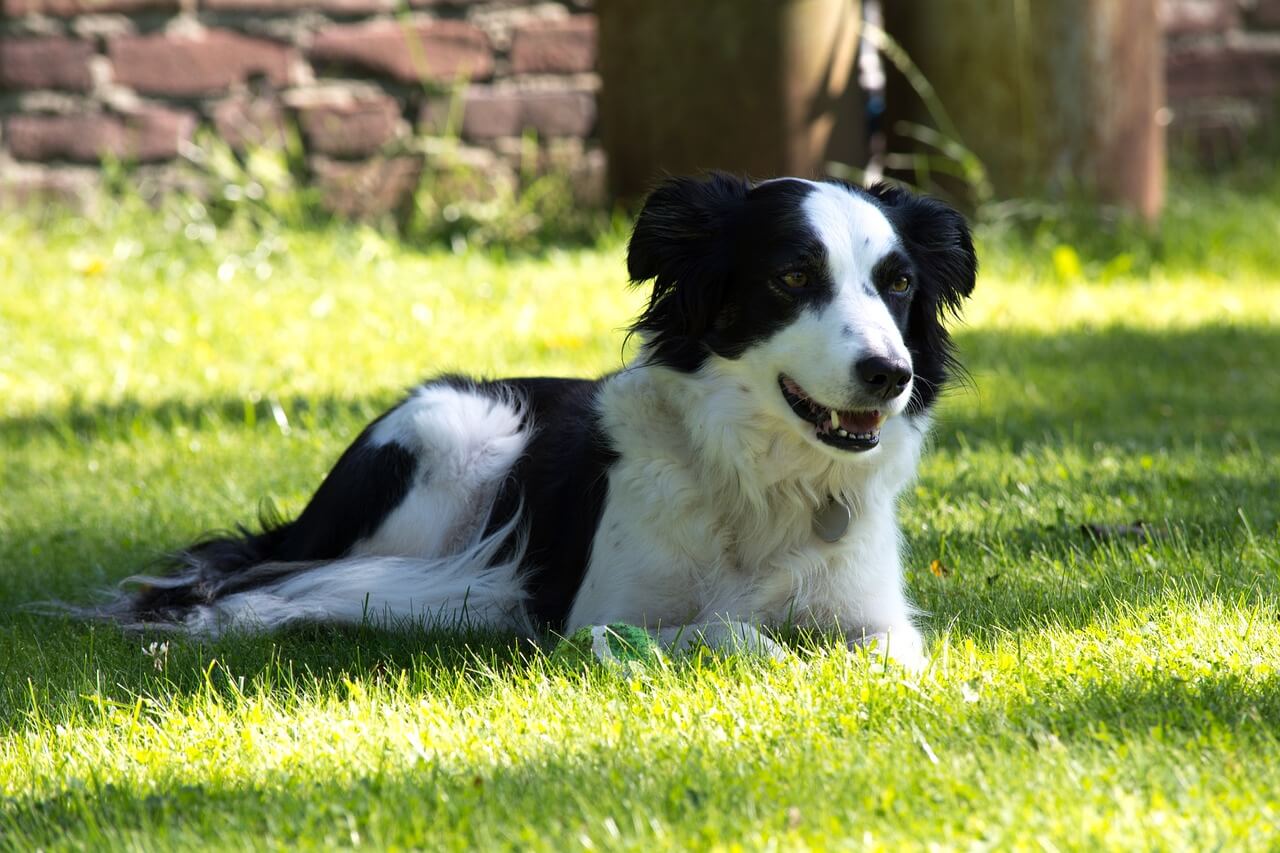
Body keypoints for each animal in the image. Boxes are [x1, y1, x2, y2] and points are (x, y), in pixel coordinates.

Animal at [104, 172, 972, 666]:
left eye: (898, 283)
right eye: (792, 275)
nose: (890, 375)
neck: (764, 477)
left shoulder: (877, 615)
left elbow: (886, 651)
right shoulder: (599, 617)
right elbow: (732, 632)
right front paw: (780, 655)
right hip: (453, 430)